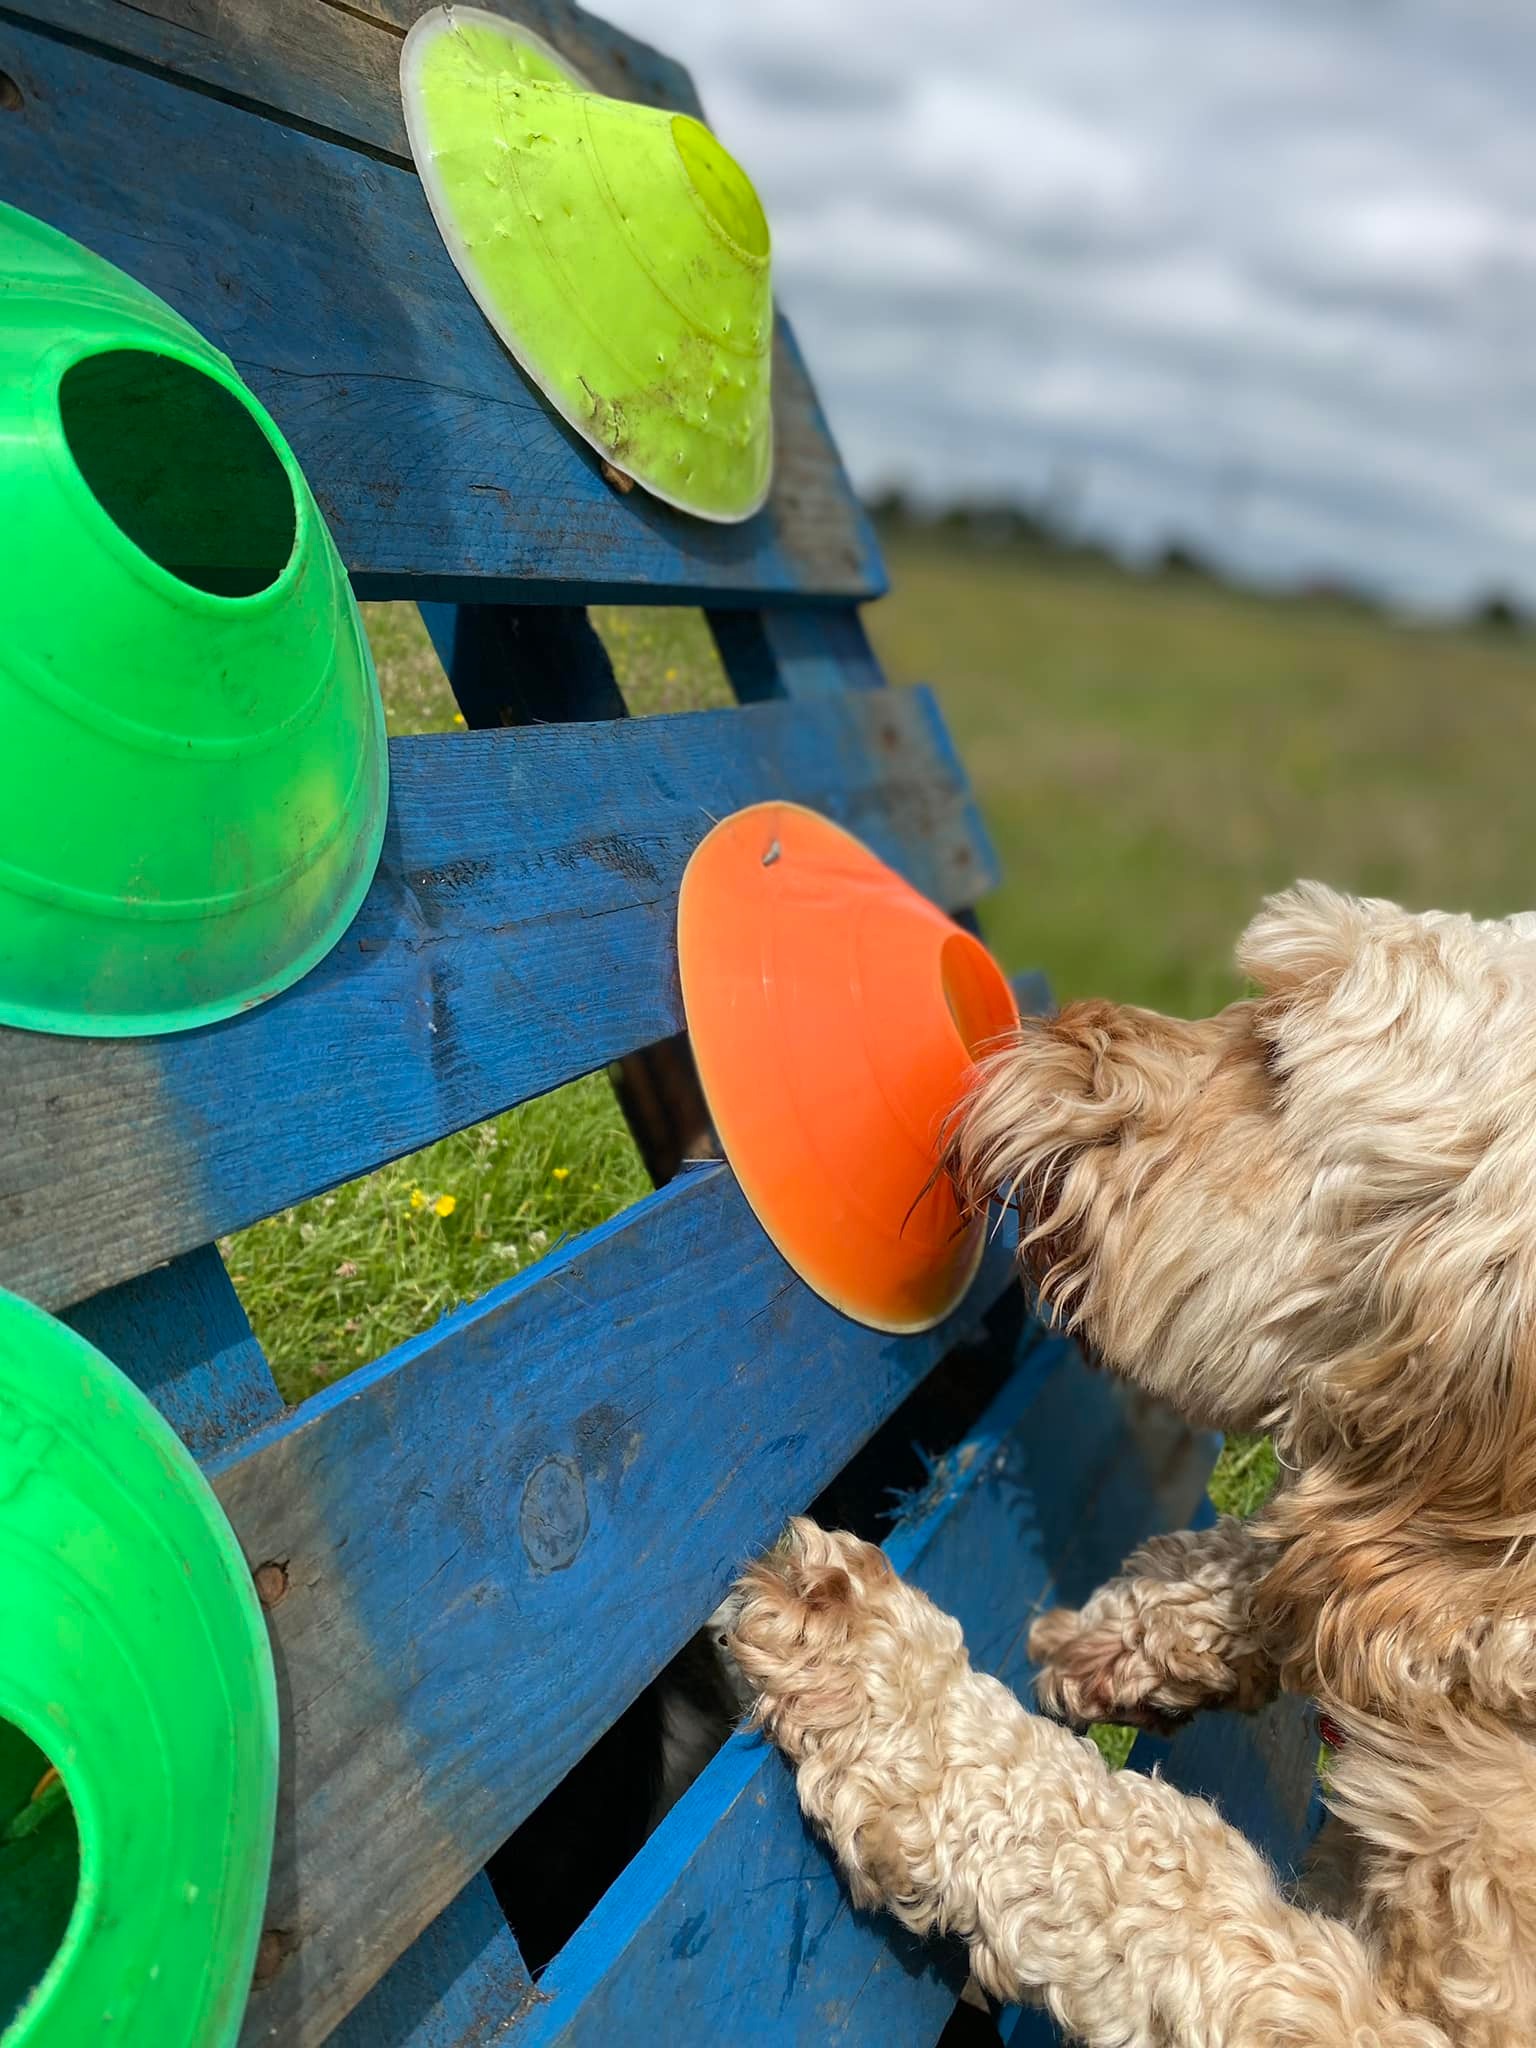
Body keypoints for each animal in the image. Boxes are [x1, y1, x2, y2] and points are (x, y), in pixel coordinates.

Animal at [729, 884, 1536, 2048]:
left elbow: (1146, 1872)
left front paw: (883, 1672)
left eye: (1276, 1057)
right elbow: (1291, 1558)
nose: (1058, 1028)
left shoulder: (1373, 2012)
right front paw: (1138, 1626)